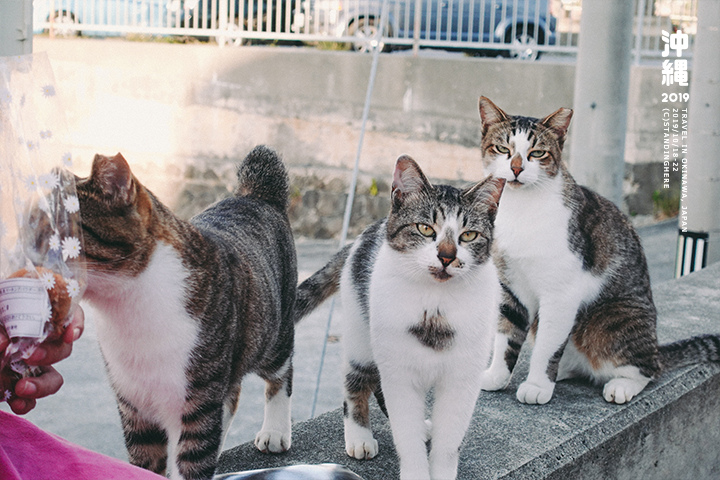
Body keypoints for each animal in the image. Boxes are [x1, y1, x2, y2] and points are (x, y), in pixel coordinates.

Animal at [74, 147, 296, 480]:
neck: (125, 310)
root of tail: (253, 194)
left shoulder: (198, 400)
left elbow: (194, 458)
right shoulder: (133, 402)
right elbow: (145, 460)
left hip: (272, 333)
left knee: (280, 374)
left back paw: (275, 430)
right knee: (231, 395)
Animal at [296, 157, 504, 480]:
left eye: (468, 235)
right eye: (425, 228)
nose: (447, 256)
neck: (435, 304)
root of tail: (365, 233)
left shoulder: (462, 380)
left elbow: (448, 443)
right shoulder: (400, 372)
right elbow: (405, 432)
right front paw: (416, 469)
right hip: (362, 338)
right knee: (355, 380)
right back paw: (359, 436)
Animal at [478, 96, 720, 404]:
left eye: (537, 153)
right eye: (502, 149)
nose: (517, 169)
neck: (521, 209)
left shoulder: (561, 292)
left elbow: (547, 347)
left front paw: (537, 386)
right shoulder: (510, 287)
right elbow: (505, 334)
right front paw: (497, 376)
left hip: (611, 321)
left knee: (647, 368)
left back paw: (621, 385)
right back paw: (566, 371)